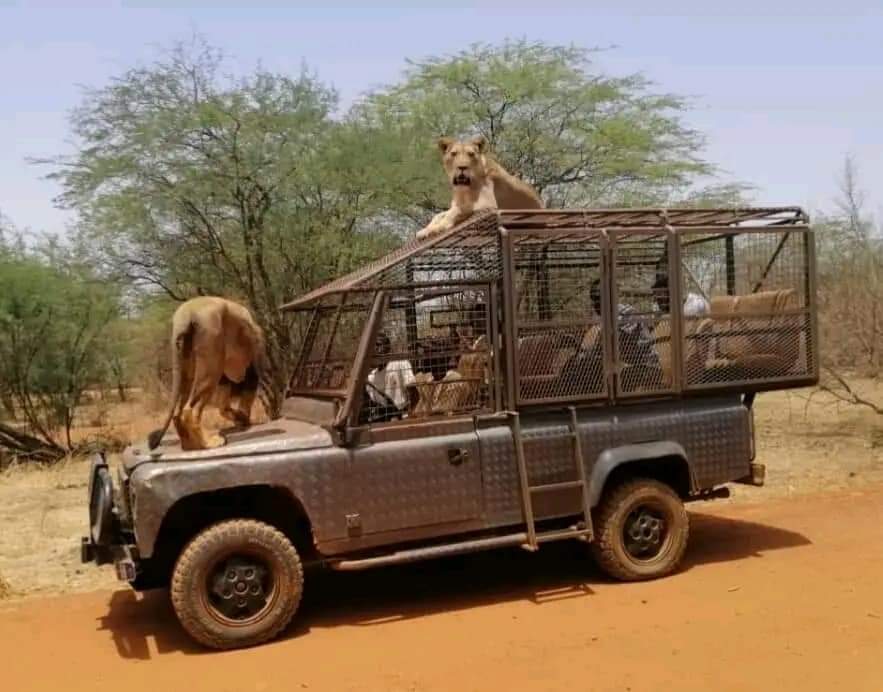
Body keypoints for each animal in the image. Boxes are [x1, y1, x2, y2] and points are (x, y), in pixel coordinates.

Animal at [147, 297, 266, 451]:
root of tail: (185, 314)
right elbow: (248, 388)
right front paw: (243, 419)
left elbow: (224, 404)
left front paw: (240, 418)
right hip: (210, 345)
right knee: (190, 409)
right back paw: (212, 442)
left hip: (186, 357)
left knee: (178, 413)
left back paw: (190, 446)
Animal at [416, 135, 544, 240]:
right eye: (454, 153)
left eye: (471, 154)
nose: (462, 167)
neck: (464, 189)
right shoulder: (457, 203)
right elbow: (438, 215)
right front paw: (425, 230)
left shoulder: (488, 204)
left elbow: (454, 212)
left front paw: (437, 228)